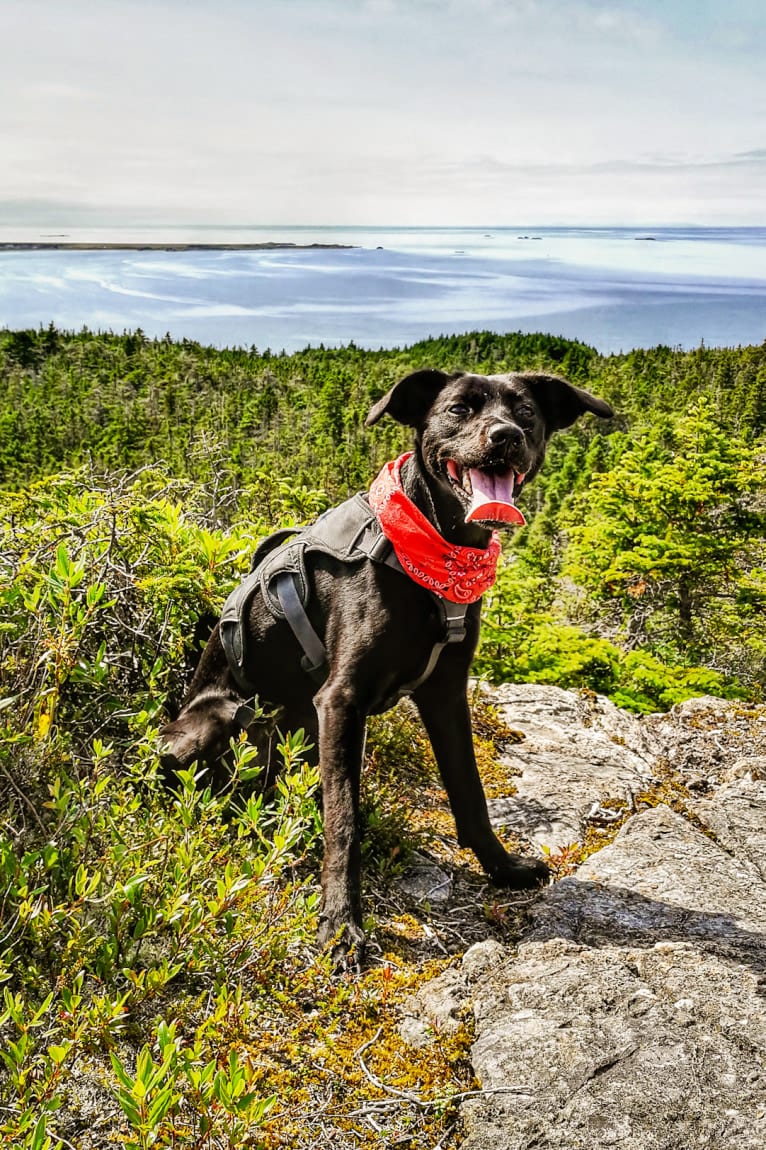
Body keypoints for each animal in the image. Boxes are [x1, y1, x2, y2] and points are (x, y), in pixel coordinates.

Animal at [159, 370, 607, 961]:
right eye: (459, 409)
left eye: (526, 412)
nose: (505, 437)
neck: (434, 548)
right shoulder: (340, 700)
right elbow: (342, 824)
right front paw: (339, 924)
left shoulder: (446, 694)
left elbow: (470, 791)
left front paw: (502, 867)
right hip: (218, 720)